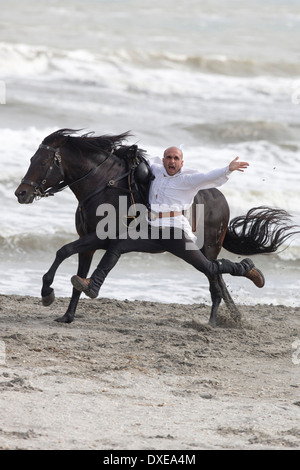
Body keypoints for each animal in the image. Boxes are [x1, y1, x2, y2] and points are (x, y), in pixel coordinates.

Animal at [14, 129, 298, 326]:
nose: (21, 193)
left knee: (215, 276)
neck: (103, 185)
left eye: (42, 162)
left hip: (206, 248)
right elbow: (76, 274)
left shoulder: (100, 238)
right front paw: (68, 315)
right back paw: (235, 313)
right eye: (31, 158)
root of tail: (221, 198)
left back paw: (222, 312)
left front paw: (47, 292)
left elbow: (62, 251)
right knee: (218, 276)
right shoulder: (89, 241)